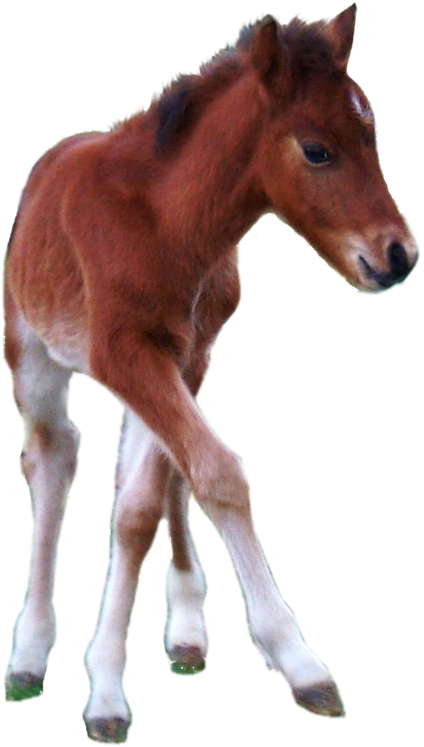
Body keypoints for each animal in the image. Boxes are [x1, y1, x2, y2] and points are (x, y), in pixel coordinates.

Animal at [3, 4, 420, 744]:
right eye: (317, 150)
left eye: (371, 132)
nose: (398, 255)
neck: (167, 222)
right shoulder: (123, 352)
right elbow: (216, 474)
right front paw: (296, 658)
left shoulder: (186, 353)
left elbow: (150, 501)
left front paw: (111, 677)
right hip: (36, 355)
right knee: (51, 457)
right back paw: (28, 651)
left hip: (176, 367)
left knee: (142, 473)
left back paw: (186, 631)